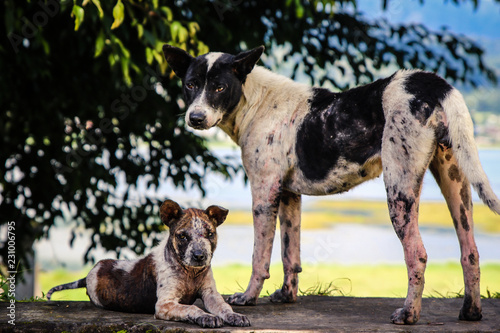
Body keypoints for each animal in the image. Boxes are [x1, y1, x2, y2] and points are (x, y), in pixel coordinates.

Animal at [46, 200, 250, 326]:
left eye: (210, 234)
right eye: (182, 236)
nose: (200, 256)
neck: (190, 273)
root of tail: (89, 274)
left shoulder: (210, 294)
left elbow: (223, 306)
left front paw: (235, 316)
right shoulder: (165, 304)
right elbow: (191, 307)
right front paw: (207, 318)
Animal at [162, 44, 498, 324]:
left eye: (219, 87)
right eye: (191, 84)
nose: (195, 118)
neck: (255, 102)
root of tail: (432, 83)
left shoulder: (264, 194)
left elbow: (260, 257)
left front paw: (248, 297)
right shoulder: (289, 196)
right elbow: (290, 255)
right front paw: (287, 296)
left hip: (399, 193)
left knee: (417, 255)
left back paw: (409, 314)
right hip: (456, 185)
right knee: (470, 252)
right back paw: (471, 312)